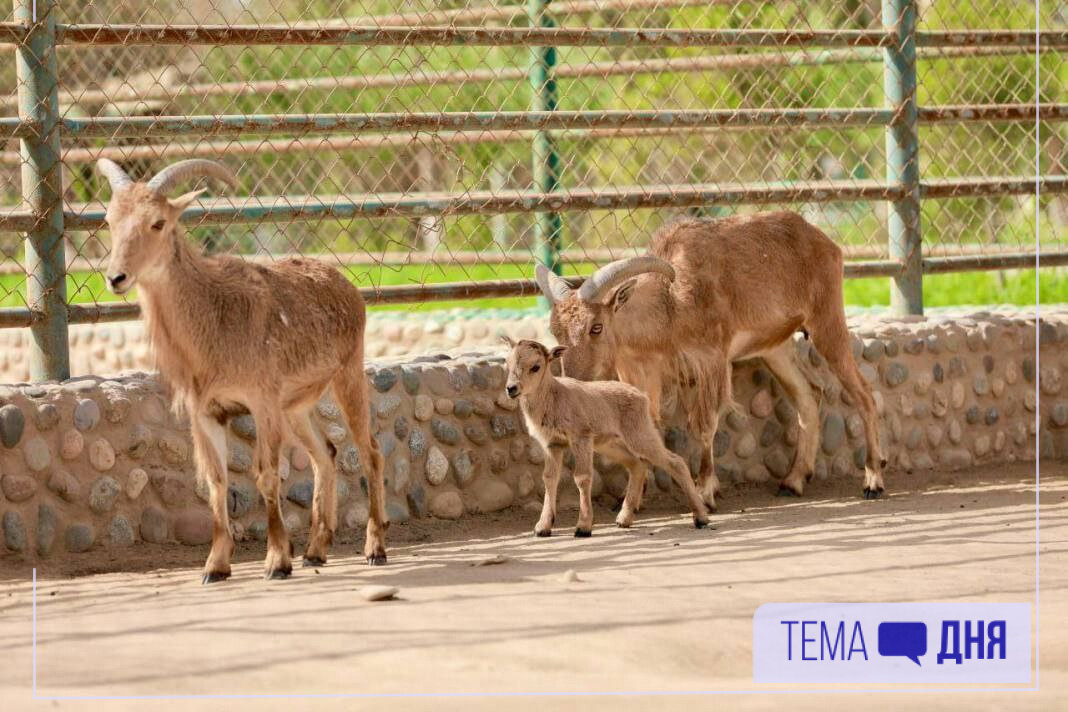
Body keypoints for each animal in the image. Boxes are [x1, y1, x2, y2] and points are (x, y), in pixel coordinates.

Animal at [98, 159, 390, 580]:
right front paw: (215, 566)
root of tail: (349, 287)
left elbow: (266, 475)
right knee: (326, 453)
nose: (116, 278)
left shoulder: (262, 401)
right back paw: (316, 551)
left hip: (347, 375)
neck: (213, 322)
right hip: (297, 406)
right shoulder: (206, 412)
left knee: (371, 451)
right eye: (109, 220)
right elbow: (216, 482)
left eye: (157, 222)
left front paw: (277, 561)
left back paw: (374, 548)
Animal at [501, 339, 709, 533]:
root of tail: (642, 396)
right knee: (637, 464)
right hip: (609, 443)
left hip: (639, 432)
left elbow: (582, 477)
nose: (511, 388)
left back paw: (701, 517)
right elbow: (549, 478)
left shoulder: (581, 436)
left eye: (535, 366)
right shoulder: (553, 444)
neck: (555, 398)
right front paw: (542, 527)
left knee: (675, 461)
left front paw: (583, 527)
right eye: (508, 363)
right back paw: (624, 519)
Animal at [538, 211, 888, 505]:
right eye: (556, 332)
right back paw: (793, 480)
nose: (574, 379)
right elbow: (646, 425)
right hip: (775, 348)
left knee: (863, 393)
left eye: (596, 327)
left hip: (827, 322)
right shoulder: (643, 371)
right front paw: (634, 492)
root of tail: (826, 242)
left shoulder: (710, 360)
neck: (669, 305)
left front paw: (706, 490)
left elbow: (704, 424)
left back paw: (873, 480)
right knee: (808, 395)